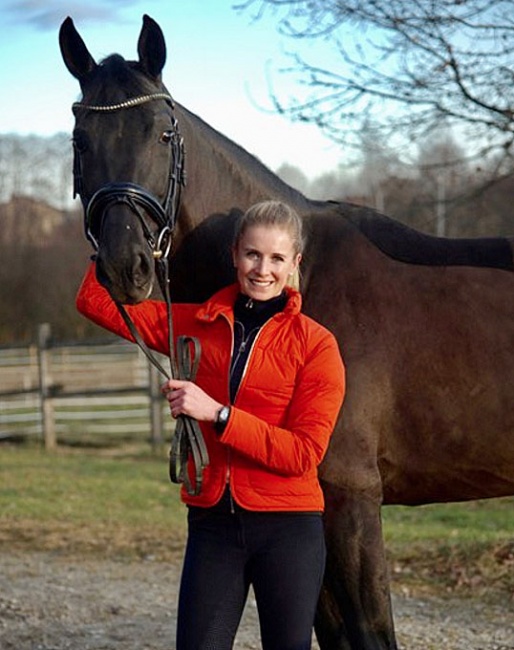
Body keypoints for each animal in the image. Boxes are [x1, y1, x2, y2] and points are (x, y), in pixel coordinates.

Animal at [59, 16, 512, 648]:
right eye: (81, 140)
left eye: (163, 134)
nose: (127, 266)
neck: (305, 281)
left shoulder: (351, 500)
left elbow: (373, 632)